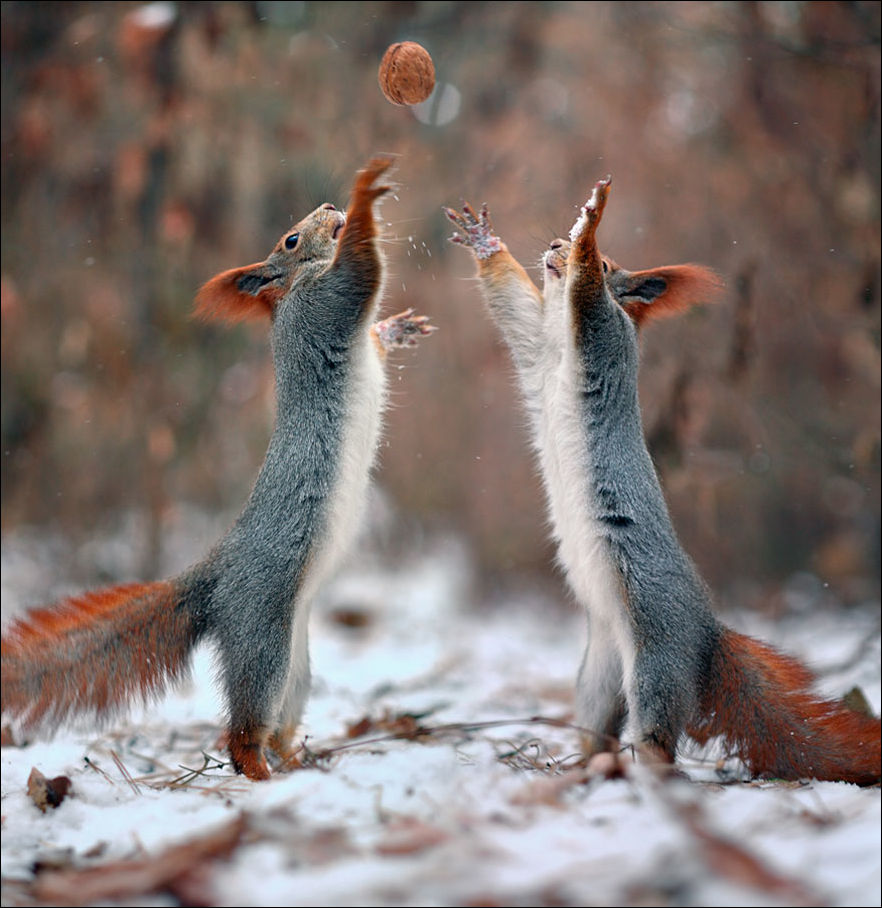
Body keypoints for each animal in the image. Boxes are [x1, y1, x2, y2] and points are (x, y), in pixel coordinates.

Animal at [2, 156, 435, 781]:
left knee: (278, 723)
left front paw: (397, 327)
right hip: (262, 636)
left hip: (294, 665)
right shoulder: (326, 304)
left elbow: (373, 325)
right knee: (241, 732)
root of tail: (218, 575)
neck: (293, 290)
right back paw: (260, 773)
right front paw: (365, 194)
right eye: (290, 239)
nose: (329, 206)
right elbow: (362, 269)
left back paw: (296, 763)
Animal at [444, 181, 881, 785]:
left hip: (655, 653)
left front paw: (592, 222)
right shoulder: (534, 343)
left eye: (611, 264)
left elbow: (588, 296)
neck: (559, 341)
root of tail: (705, 635)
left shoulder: (603, 334)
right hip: (600, 673)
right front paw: (485, 241)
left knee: (658, 737)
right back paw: (581, 767)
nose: (555, 245)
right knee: (600, 726)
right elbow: (510, 302)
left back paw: (642, 771)